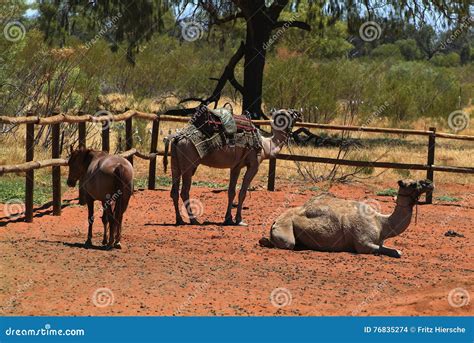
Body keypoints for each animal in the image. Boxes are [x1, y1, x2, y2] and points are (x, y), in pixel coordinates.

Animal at [163, 110, 300, 227]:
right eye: (288, 113)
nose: (298, 113)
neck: (265, 145)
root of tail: (176, 138)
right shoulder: (254, 165)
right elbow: (242, 192)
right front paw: (240, 220)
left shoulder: (236, 167)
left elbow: (231, 192)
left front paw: (228, 219)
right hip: (189, 163)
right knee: (184, 191)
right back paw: (194, 220)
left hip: (175, 163)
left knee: (174, 191)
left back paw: (179, 220)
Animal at [260, 180, 434, 258]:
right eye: (412, 184)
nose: (429, 183)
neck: (381, 224)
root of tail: (275, 220)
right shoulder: (363, 244)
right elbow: (394, 252)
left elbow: (395, 250)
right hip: (286, 229)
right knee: (288, 243)